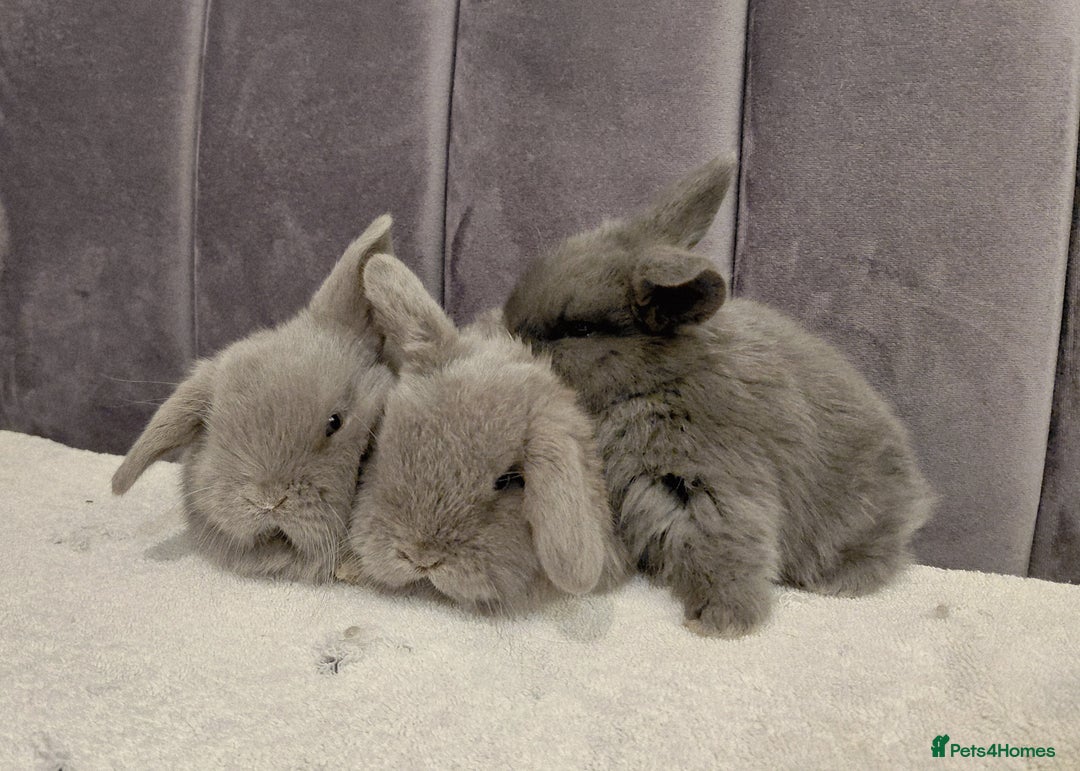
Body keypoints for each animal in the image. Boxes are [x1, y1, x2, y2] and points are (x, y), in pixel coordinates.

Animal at [502, 156, 934, 637]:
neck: (660, 379)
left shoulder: (705, 479)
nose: (508, 329)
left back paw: (837, 582)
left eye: (578, 329)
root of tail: (914, 492)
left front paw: (719, 621)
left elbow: (724, 542)